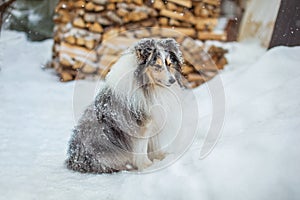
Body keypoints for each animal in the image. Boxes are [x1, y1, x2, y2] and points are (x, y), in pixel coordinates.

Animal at [66, 38, 184, 173]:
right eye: (157, 65)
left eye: (169, 64)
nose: (172, 80)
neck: (148, 87)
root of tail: (73, 159)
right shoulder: (141, 125)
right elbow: (141, 147)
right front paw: (147, 166)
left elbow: (153, 144)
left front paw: (160, 157)